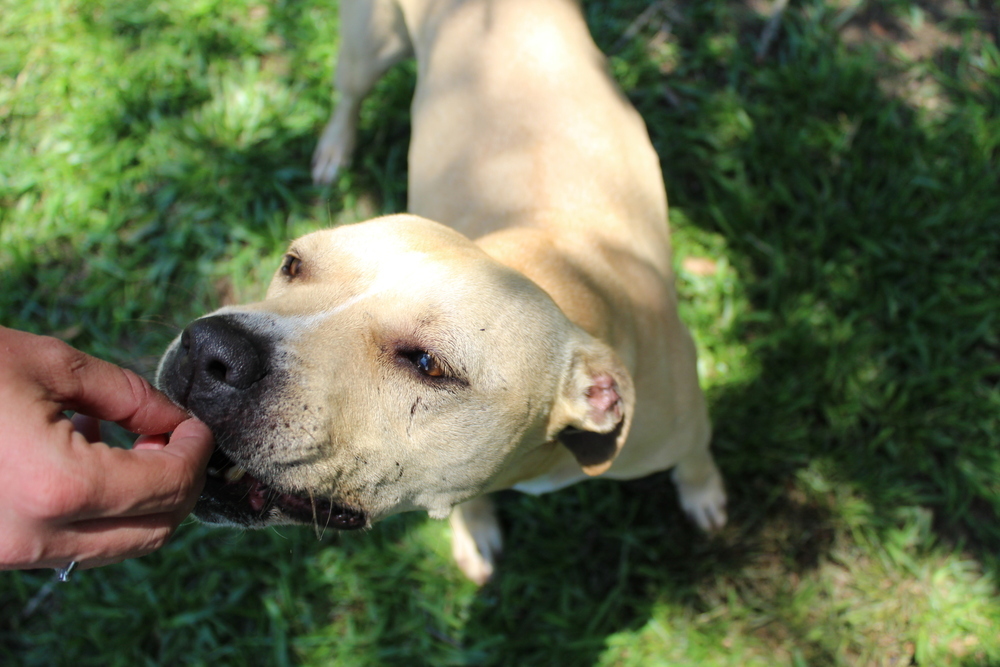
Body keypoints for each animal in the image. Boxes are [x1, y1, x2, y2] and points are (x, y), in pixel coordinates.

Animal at [160, 0, 732, 584]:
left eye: (427, 365)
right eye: (293, 265)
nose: (211, 350)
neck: (559, 277)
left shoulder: (685, 424)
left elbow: (696, 458)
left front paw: (703, 494)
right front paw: (474, 532)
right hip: (370, 45)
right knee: (348, 94)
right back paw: (335, 147)